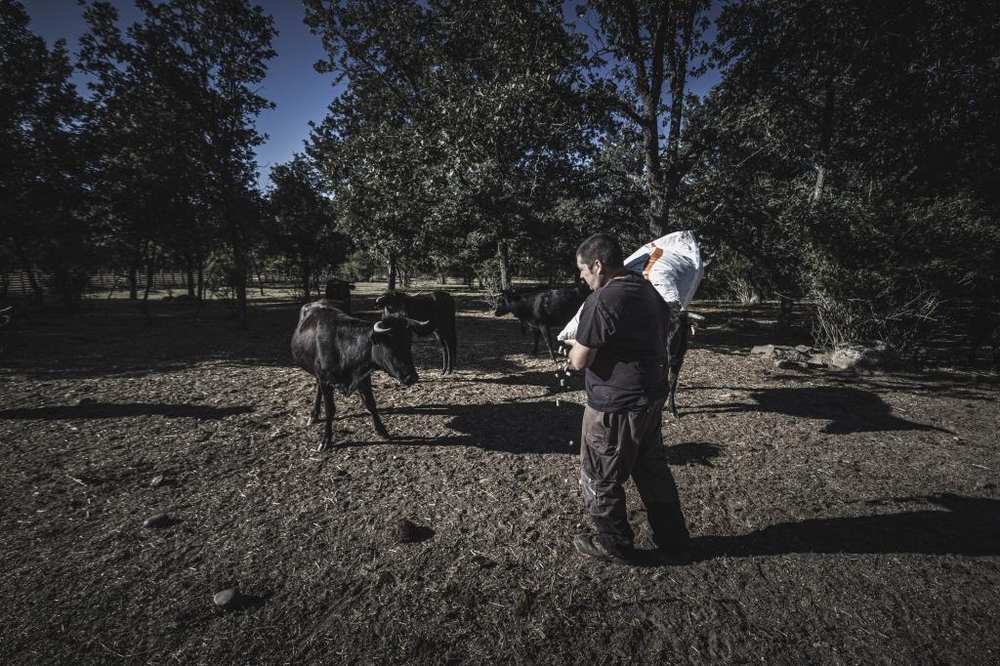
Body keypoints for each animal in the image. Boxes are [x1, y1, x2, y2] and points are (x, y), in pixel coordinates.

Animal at [290, 300, 430, 452]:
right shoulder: (325, 380)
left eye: (409, 343)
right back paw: (313, 415)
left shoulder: (363, 377)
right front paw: (325, 439)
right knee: (318, 390)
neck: (342, 348)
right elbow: (330, 410)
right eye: (391, 345)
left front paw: (382, 430)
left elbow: (371, 404)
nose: (412, 377)